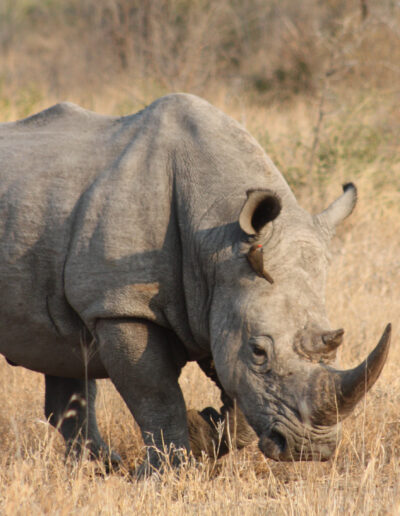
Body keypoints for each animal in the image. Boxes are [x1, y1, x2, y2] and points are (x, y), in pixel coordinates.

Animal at [0, 93, 390, 476]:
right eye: (258, 352)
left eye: (335, 345)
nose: (309, 449)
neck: (217, 240)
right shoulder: (120, 305)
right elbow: (157, 395)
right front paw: (167, 471)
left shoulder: (219, 296)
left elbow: (237, 393)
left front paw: (205, 433)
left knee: (63, 355)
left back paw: (99, 467)